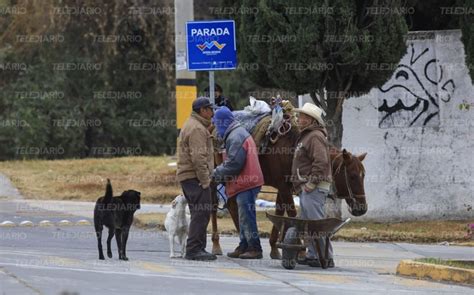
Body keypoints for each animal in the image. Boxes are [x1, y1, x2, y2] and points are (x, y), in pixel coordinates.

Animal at [209, 128, 368, 260]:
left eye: (363, 175)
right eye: (352, 176)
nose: (362, 208)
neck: (291, 149)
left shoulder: (283, 188)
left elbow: (279, 212)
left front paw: (274, 248)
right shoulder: (284, 187)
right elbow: (292, 214)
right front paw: (300, 251)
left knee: (232, 205)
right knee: (214, 206)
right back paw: (217, 245)